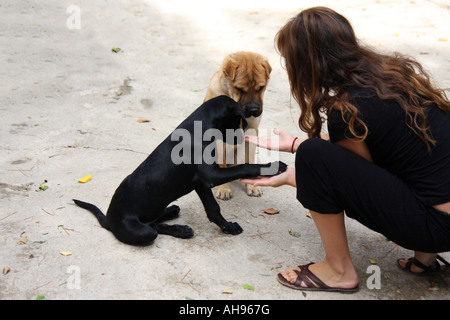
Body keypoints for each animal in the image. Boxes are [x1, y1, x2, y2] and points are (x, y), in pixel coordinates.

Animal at [73, 96, 284, 246]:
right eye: (239, 122)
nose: (240, 140)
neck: (200, 125)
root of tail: (108, 218)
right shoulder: (210, 176)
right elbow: (245, 167)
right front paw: (275, 166)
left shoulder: (200, 183)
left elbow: (213, 209)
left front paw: (228, 227)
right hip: (142, 231)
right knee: (153, 228)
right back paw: (181, 230)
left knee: (155, 219)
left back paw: (172, 211)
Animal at [204, 51, 270, 199]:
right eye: (239, 89)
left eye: (261, 88)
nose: (252, 109)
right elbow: (221, 164)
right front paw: (224, 188)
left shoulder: (251, 131)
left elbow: (250, 159)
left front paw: (252, 185)